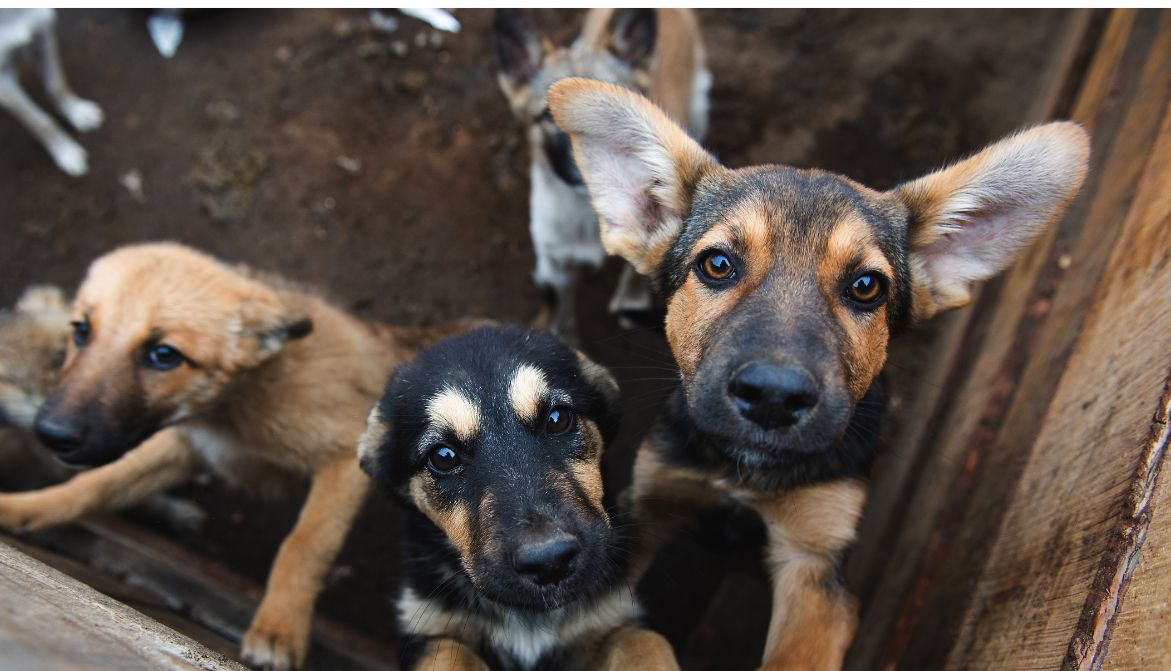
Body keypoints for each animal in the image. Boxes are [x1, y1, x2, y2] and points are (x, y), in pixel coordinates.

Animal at [0, 9, 103, 176]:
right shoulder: (3, 79)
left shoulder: (45, 34)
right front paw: (66, 151)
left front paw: (78, 112)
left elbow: (57, 85)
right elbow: (39, 122)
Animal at [0, 243, 478, 670]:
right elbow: (94, 484)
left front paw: (278, 630)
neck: (237, 402)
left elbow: (304, 543)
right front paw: (23, 508)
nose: (51, 433)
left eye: (164, 355)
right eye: (80, 330)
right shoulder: (186, 446)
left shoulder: (344, 457)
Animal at [359, 325, 678, 671]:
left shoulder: (609, 619)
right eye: (442, 457)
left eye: (557, 419)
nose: (549, 561)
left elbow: (644, 640)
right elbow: (450, 657)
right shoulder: (428, 631)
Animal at [548, 79, 1090, 669]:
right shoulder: (650, 503)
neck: (746, 475)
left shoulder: (816, 560)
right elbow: (631, 634)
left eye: (866, 287)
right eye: (717, 264)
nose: (773, 397)